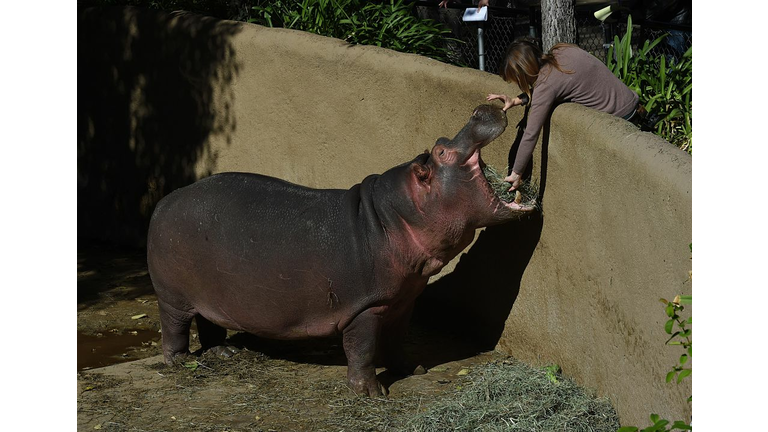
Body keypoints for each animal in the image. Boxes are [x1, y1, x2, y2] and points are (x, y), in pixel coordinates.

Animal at [148, 104, 536, 394]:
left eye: (440, 141)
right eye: (441, 151)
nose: (480, 109)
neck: (396, 217)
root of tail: (164, 201)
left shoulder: (402, 300)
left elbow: (397, 339)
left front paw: (413, 369)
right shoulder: (364, 307)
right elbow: (362, 349)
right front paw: (371, 392)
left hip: (209, 293)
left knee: (208, 320)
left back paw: (226, 352)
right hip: (172, 296)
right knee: (174, 327)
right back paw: (183, 361)